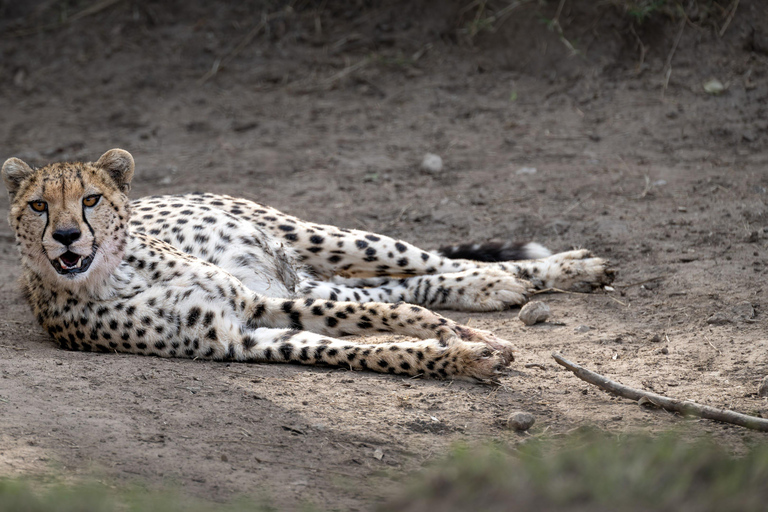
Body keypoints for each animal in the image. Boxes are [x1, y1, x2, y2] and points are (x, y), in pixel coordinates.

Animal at [0, 147, 612, 380]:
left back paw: (565, 269)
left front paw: (461, 338)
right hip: (306, 277)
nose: (67, 237)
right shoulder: (242, 335)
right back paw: (491, 285)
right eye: (38, 205)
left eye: (90, 199)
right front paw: (459, 356)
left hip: (321, 238)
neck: (115, 272)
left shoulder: (253, 300)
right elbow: (366, 341)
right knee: (398, 287)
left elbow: (391, 321)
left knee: (425, 260)